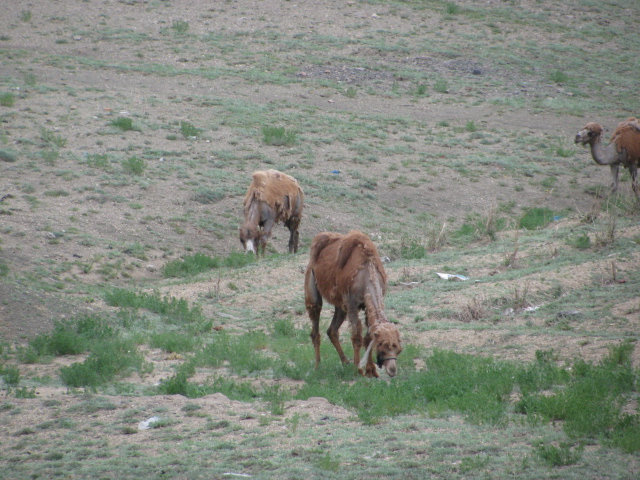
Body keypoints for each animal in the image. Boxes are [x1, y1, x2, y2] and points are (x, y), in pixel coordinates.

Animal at [304, 231, 402, 376]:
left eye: (398, 350)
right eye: (382, 348)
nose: (392, 370)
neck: (366, 274)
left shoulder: (367, 305)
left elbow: (368, 336)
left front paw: (371, 370)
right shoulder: (352, 304)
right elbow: (356, 336)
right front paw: (358, 369)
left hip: (340, 304)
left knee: (332, 330)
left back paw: (345, 362)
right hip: (312, 283)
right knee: (315, 324)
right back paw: (317, 366)